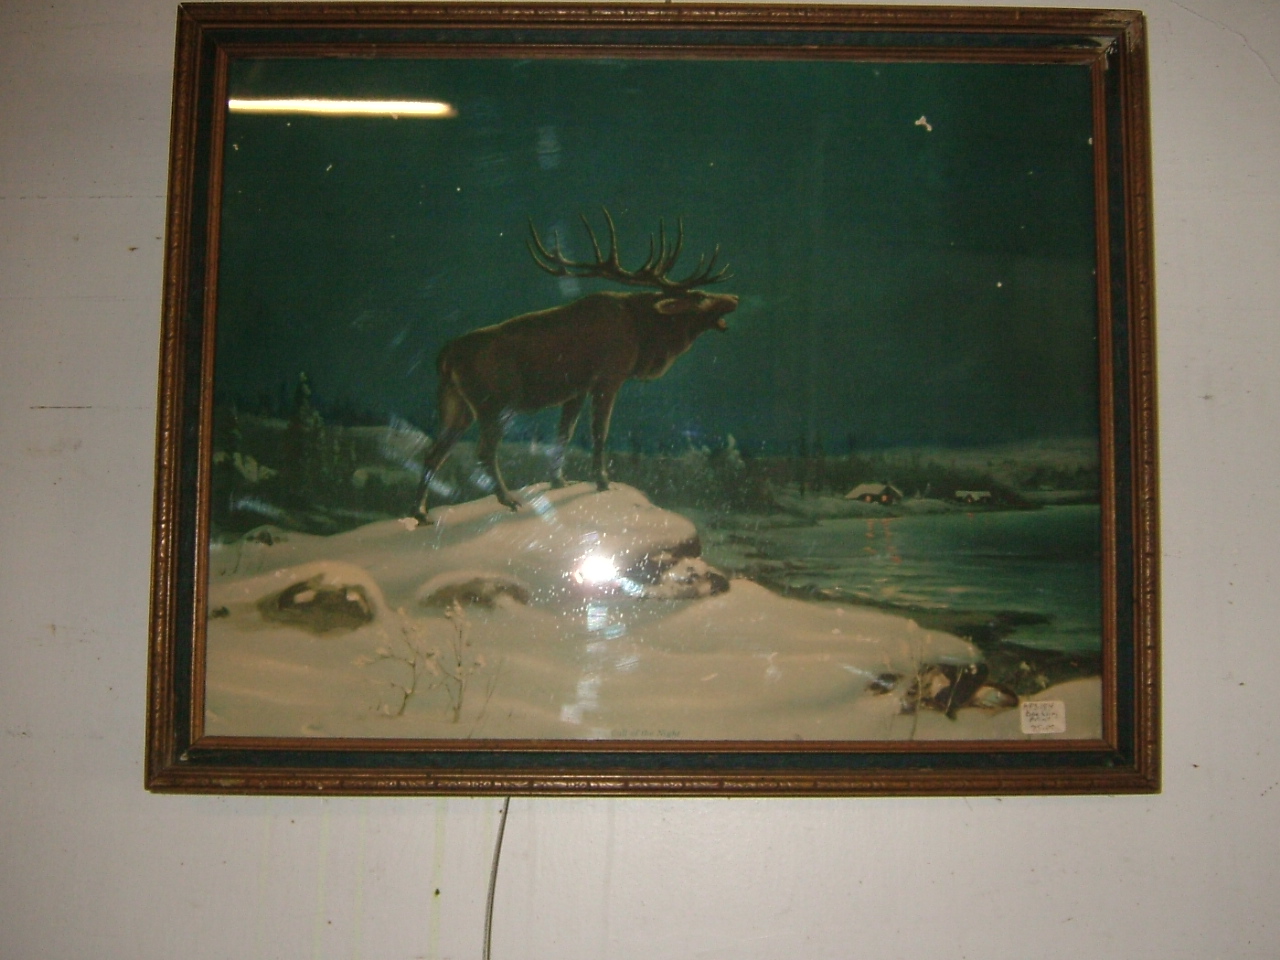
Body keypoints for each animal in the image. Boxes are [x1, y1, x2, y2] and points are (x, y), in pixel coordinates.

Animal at [413, 209, 737, 521]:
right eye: (700, 295)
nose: (733, 297)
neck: (644, 337)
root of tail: (446, 356)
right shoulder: (608, 377)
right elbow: (599, 432)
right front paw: (603, 481)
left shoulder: (576, 389)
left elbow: (564, 434)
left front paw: (559, 480)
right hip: (495, 402)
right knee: (483, 450)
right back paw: (508, 499)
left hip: (457, 405)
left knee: (433, 452)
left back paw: (420, 512)